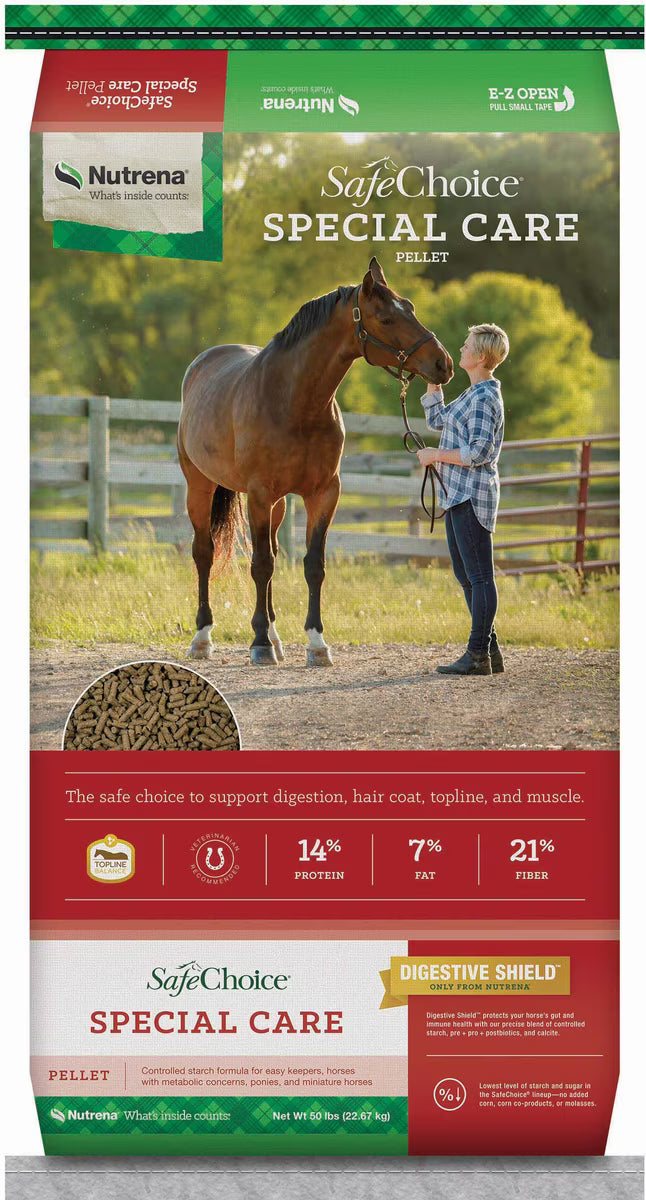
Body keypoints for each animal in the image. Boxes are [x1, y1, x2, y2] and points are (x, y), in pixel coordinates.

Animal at [178, 257, 453, 667]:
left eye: (411, 308)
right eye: (386, 318)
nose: (443, 363)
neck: (295, 401)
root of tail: (201, 363)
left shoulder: (323, 493)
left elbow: (312, 565)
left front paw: (316, 643)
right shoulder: (259, 493)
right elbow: (260, 564)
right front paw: (258, 643)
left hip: (276, 505)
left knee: (272, 554)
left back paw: (275, 636)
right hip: (201, 487)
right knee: (204, 553)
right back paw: (203, 636)